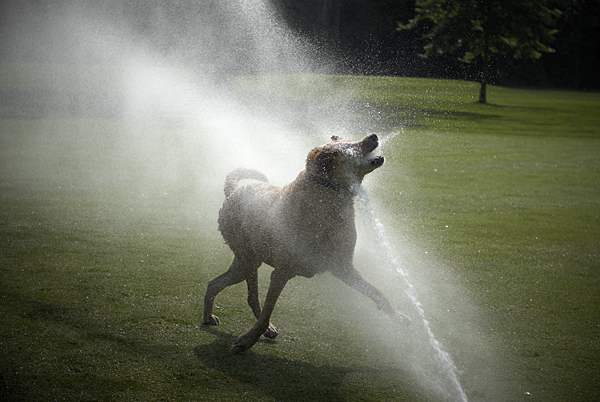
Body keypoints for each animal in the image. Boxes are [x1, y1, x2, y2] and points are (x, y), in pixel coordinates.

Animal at [204, 133, 410, 354]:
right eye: (349, 147)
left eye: (349, 139)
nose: (373, 136)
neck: (326, 198)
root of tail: (234, 191)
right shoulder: (282, 272)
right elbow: (268, 310)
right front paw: (247, 340)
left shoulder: (343, 268)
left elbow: (377, 292)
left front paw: (397, 315)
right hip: (248, 259)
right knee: (252, 297)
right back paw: (266, 328)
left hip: (243, 264)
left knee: (214, 283)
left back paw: (208, 317)